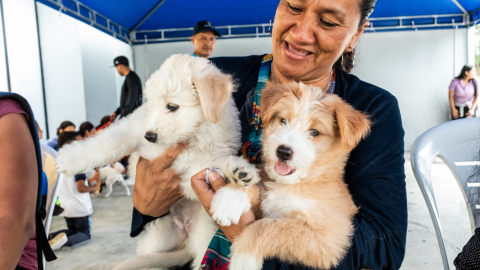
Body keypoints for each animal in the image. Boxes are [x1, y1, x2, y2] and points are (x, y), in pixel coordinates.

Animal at [55, 53, 258, 268]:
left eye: (172, 107)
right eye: (150, 106)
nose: (149, 136)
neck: (188, 135)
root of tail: (184, 234)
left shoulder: (189, 170)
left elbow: (210, 168)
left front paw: (235, 181)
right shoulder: (132, 129)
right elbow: (103, 144)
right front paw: (68, 158)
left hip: (202, 239)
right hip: (155, 240)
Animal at [229, 81, 372, 270]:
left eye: (315, 132)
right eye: (283, 121)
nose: (283, 152)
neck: (292, 186)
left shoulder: (329, 239)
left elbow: (268, 228)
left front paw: (243, 259)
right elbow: (258, 192)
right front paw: (229, 199)